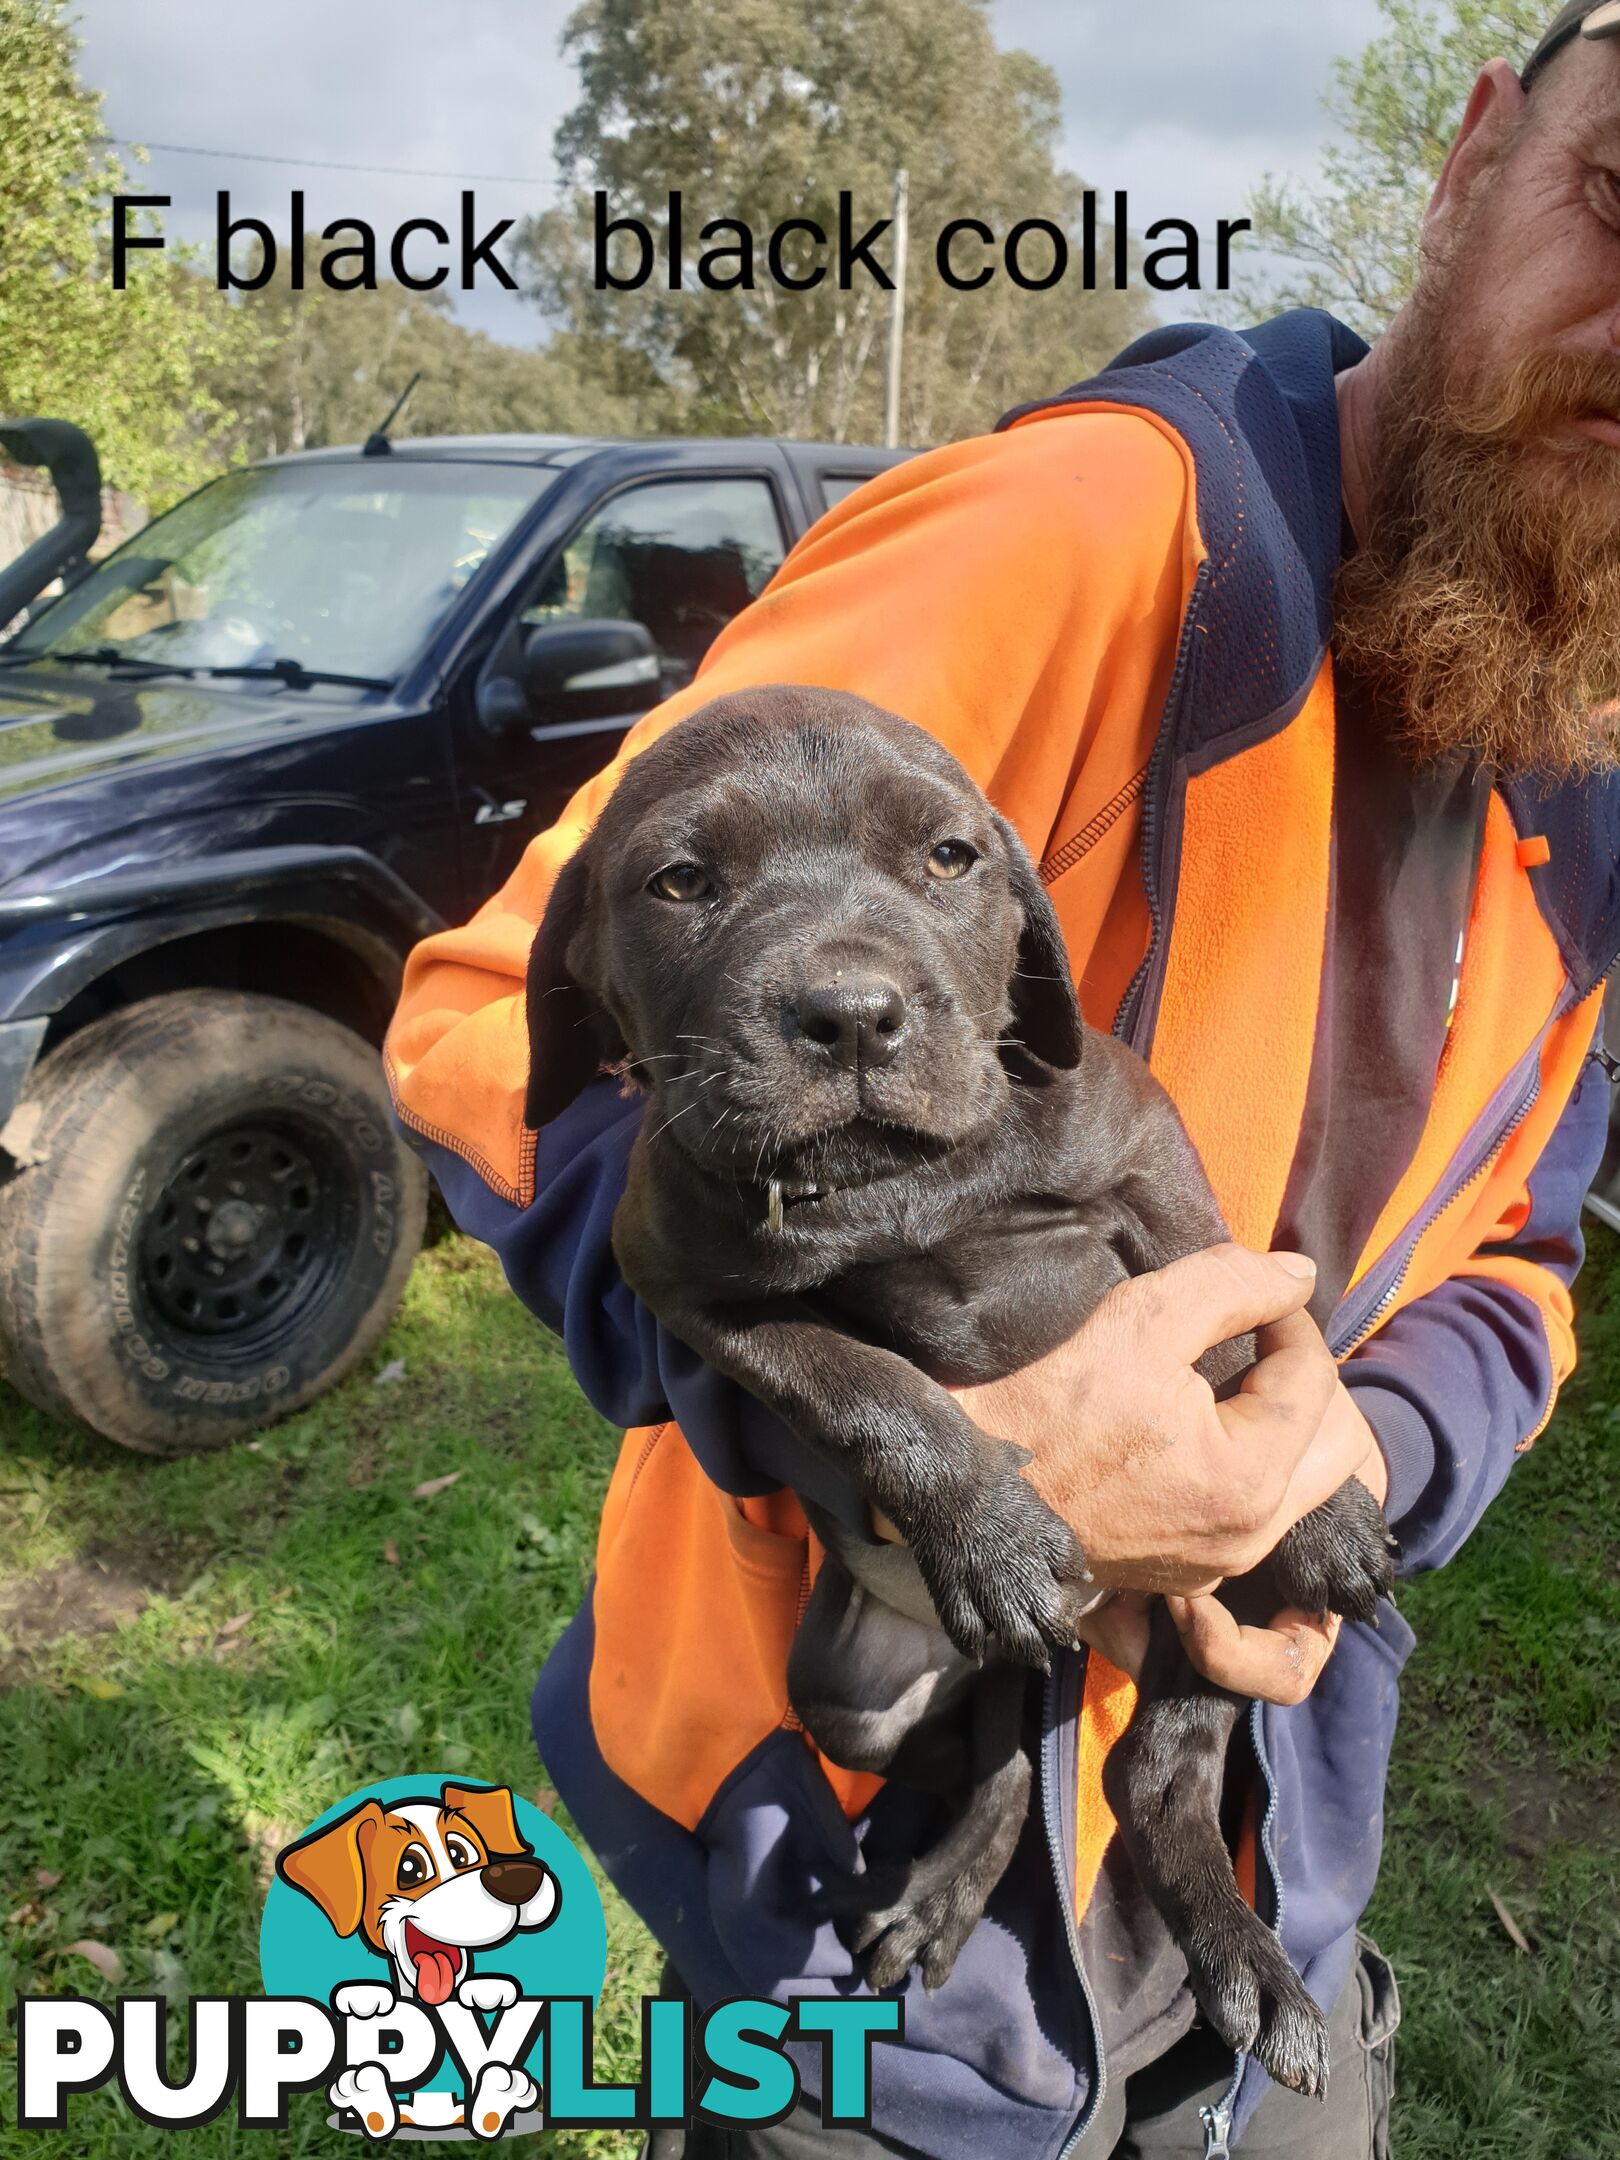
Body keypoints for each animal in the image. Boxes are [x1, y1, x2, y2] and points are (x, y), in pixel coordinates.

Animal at [529, 686, 1399, 2090]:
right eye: (680, 882)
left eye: (949, 858)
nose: (850, 1014)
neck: (907, 1183)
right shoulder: (692, 1287)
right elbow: (861, 1378)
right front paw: (987, 1535)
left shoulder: (1149, 1164)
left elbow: (1239, 1332)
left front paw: (1319, 1507)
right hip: (856, 1699)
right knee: (998, 1747)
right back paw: (946, 1884)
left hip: (1220, 1614)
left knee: (1150, 1773)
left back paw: (1245, 1967)